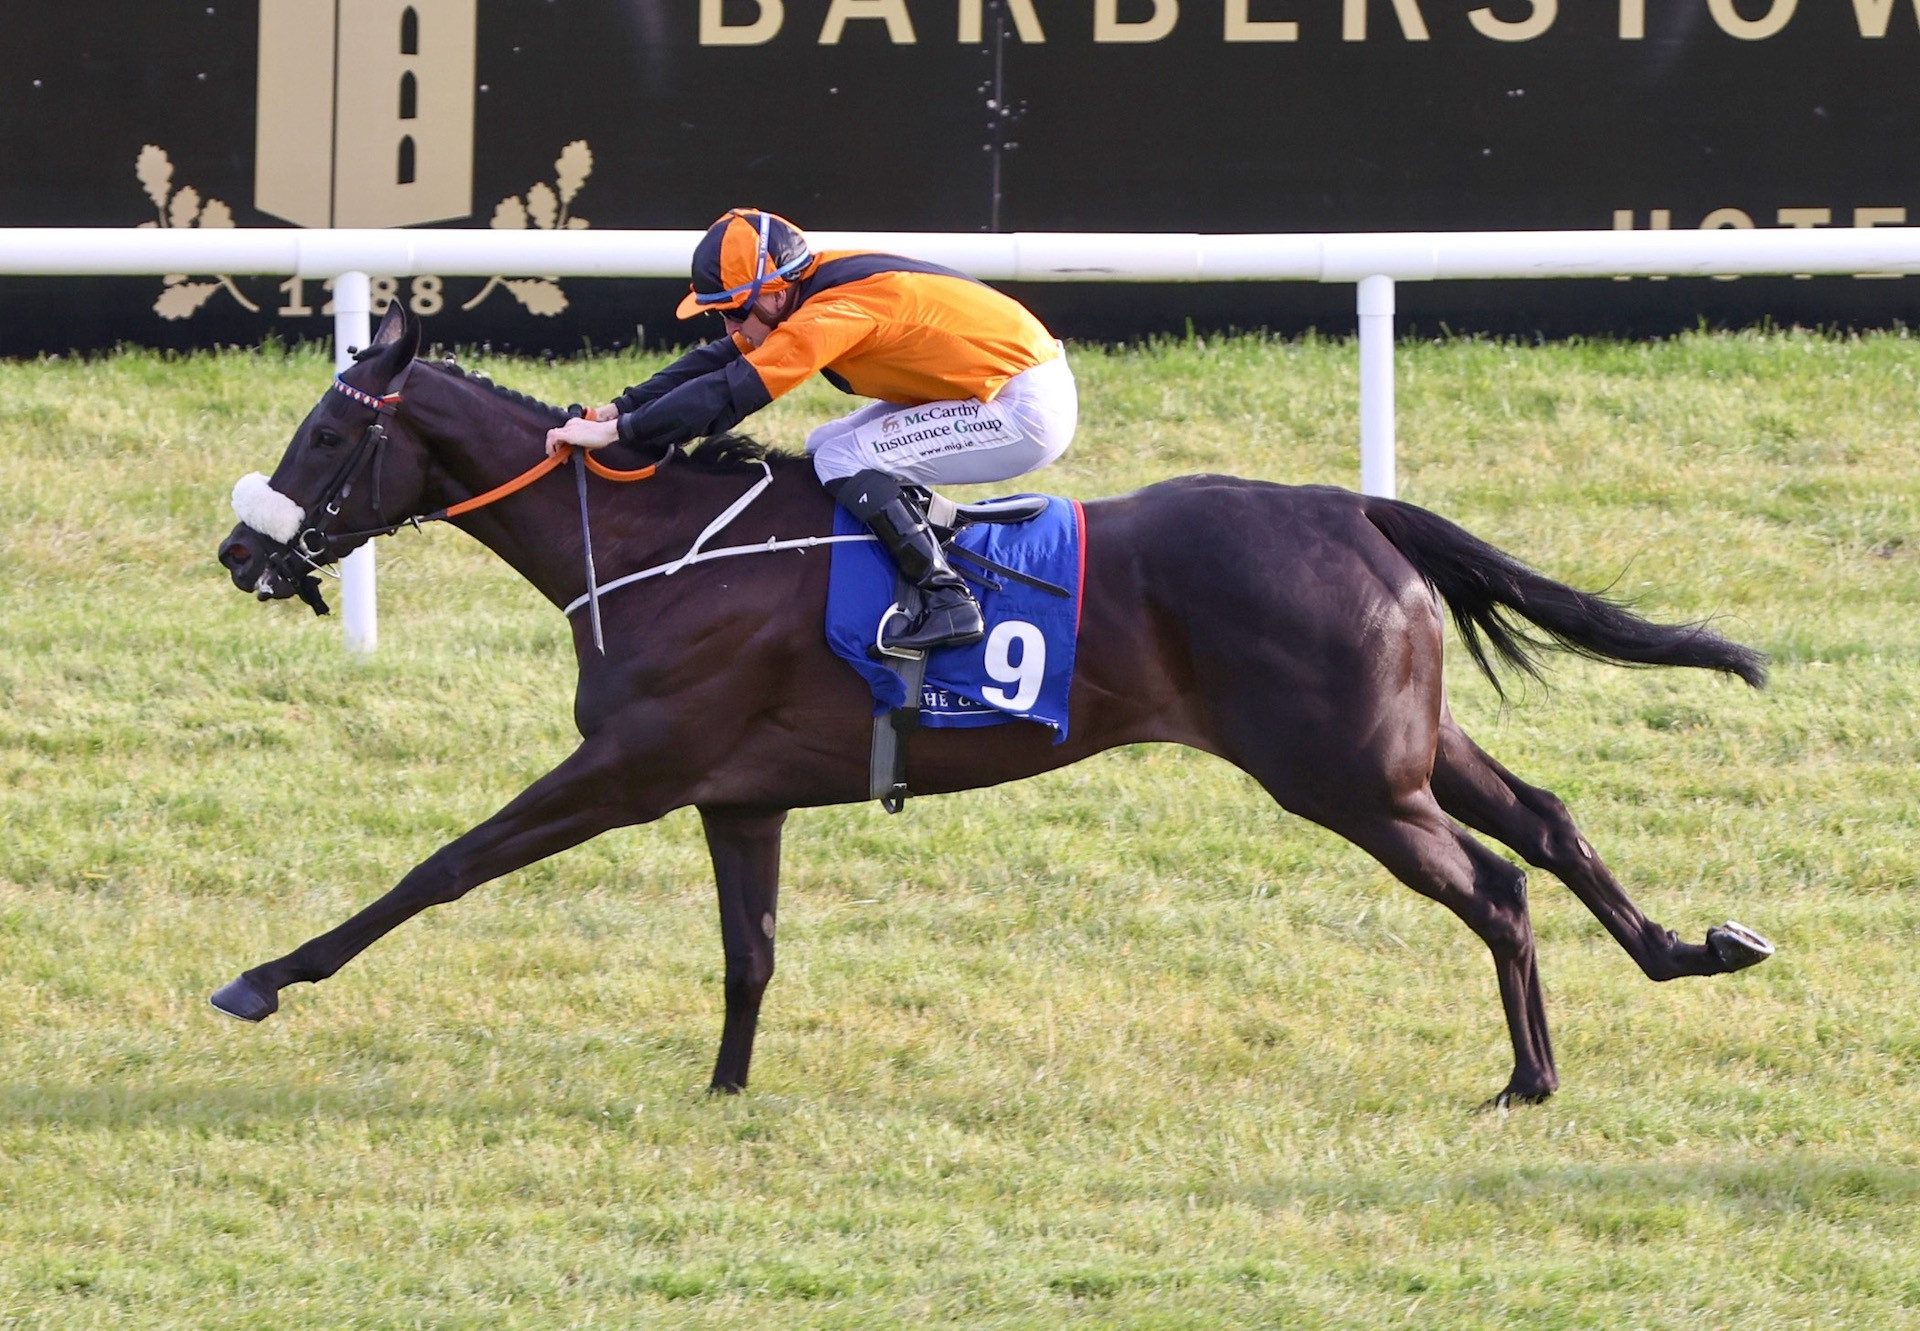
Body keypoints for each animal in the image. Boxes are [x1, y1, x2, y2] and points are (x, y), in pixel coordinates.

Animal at [210, 305, 1766, 1106]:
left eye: (329, 430)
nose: (239, 551)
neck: (662, 547)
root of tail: (1353, 505)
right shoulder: (738, 794)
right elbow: (750, 953)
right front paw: (726, 1090)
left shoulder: (628, 768)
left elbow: (443, 865)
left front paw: (267, 974)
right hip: (1407, 741)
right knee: (1551, 821)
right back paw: (1691, 949)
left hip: (1346, 775)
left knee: (1498, 885)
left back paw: (1530, 1078)